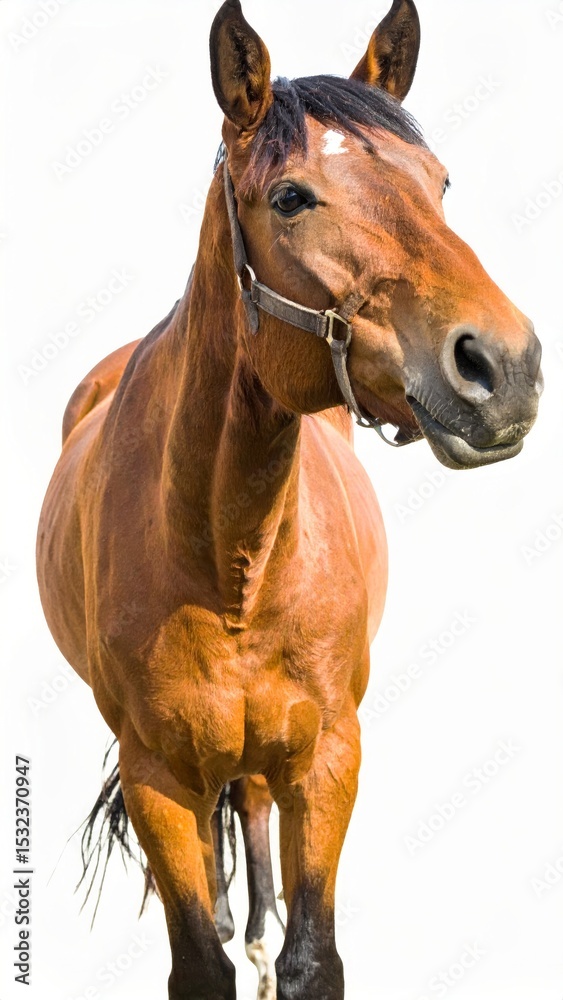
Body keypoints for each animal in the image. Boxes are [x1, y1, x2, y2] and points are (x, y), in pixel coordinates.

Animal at [36, 1, 542, 997]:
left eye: (439, 182)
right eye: (291, 198)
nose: (502, 365)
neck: (228, 556)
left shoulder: (327, 758)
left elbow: (312, 955)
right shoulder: (157, 778)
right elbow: (202, 960)